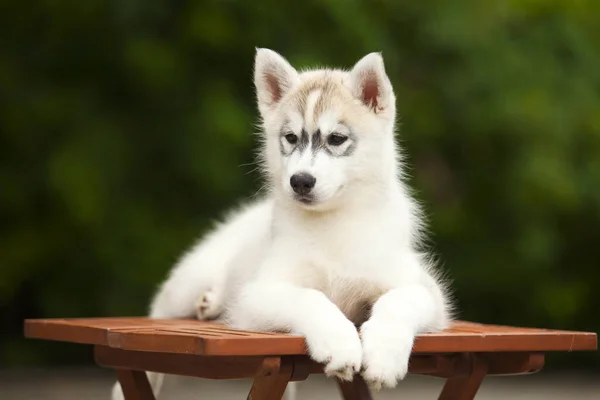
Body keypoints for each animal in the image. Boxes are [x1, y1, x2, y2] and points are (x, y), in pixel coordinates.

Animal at [111, 48, 450, 398]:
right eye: (290, 137)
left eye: (337, 138)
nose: (300, 181)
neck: (332, 223)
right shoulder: (255, 295)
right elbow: (309, 297)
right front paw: (339, 344)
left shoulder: (427, 292)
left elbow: (399, 300)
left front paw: (385, 356)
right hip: (184, 287)